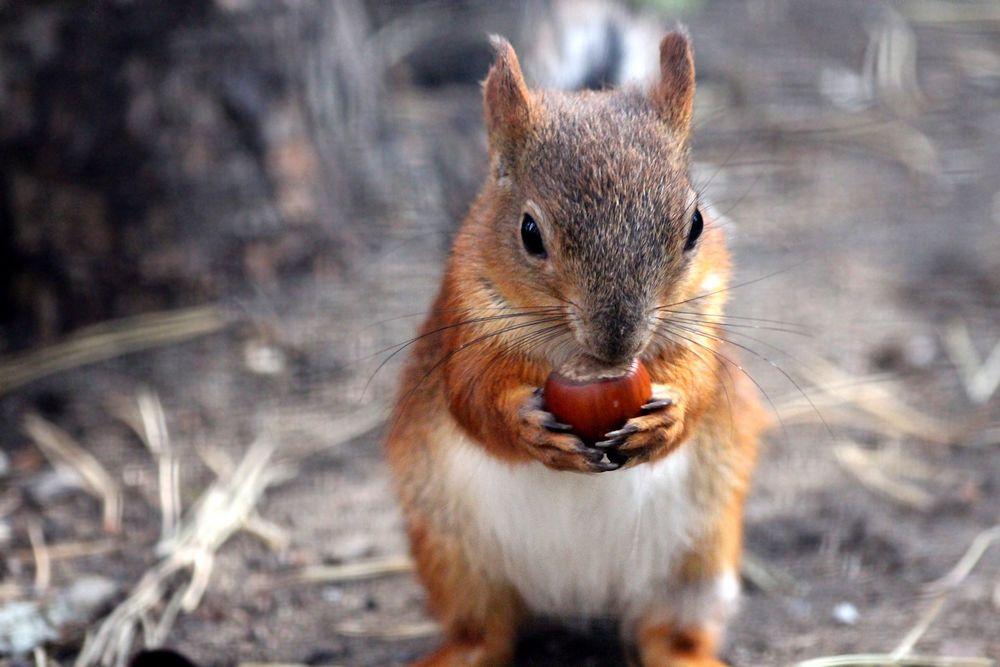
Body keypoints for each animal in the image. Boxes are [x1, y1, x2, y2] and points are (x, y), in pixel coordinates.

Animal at [382, 30, 764, 667]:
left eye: (695, 224)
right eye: (529, 233)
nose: (617, 342)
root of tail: (579, 597)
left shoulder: (704, 324)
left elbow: (701, 385)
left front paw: (668, 418)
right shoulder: (464, 330)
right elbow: (472, 400)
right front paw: (526, 426)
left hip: (698, 562)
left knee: (670, 633)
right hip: (451, 553)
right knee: (482, 630)